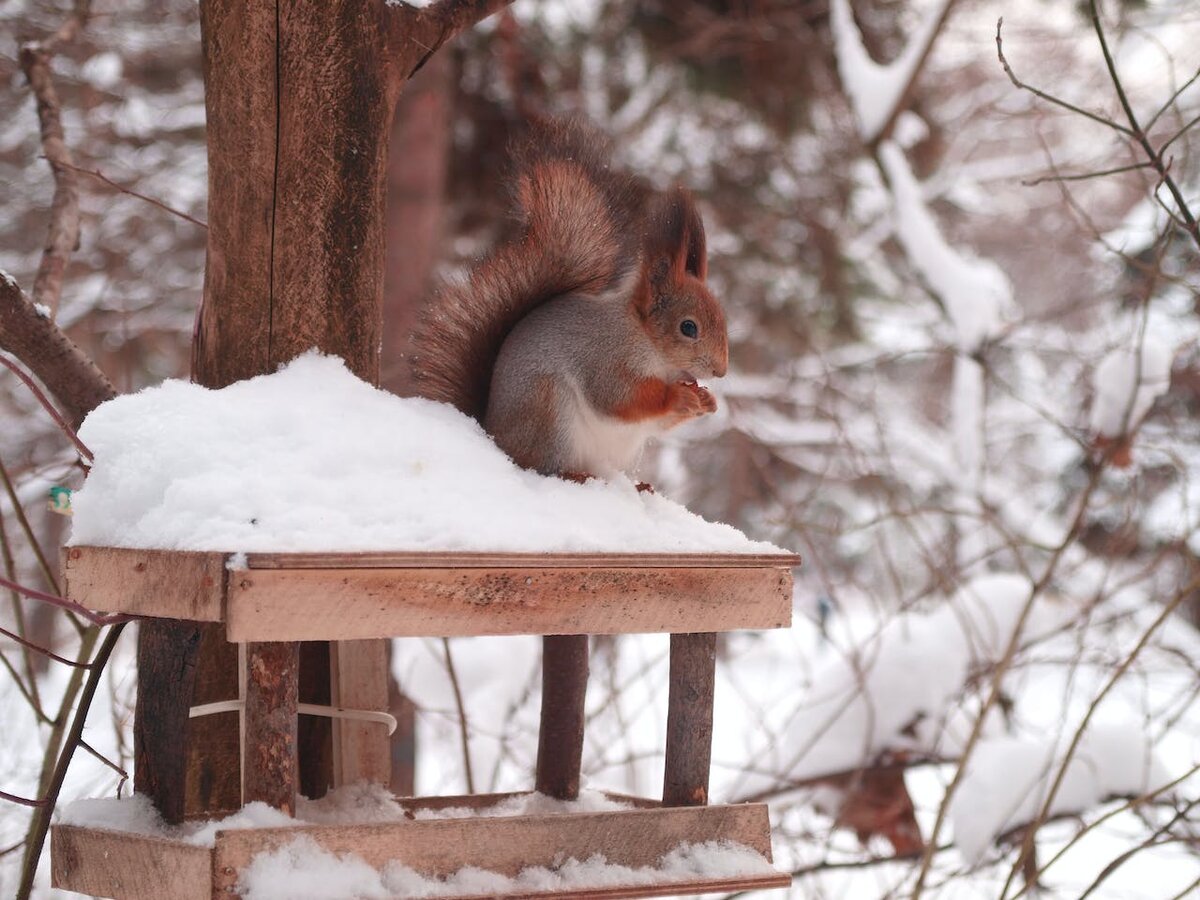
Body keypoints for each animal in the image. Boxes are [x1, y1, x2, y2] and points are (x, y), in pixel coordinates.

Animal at [412, 125, 729, 487]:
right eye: (688, 327)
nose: (721, 371)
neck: (647, 340)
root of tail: (492, 433)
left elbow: (659, 421)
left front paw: (705, 399)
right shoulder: (604, 357)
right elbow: (619, 397)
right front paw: (678, 396)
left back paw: (637, 484)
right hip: (548, 410)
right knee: (538, 465)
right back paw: (573, 475)